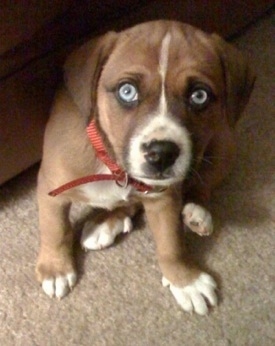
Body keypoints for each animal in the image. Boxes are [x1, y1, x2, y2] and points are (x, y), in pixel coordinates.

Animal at [35, 20, 256, 314]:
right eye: (127, 91)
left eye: (199, 95)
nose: (162, 154)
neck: (114, 165)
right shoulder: (51, 188)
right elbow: (54, 229)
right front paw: (55, 269)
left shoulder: (164, 198)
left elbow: (171, 245)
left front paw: (185, 280)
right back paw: (107, 222)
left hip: (223, 143)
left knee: (202, 185)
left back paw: (195, 212)